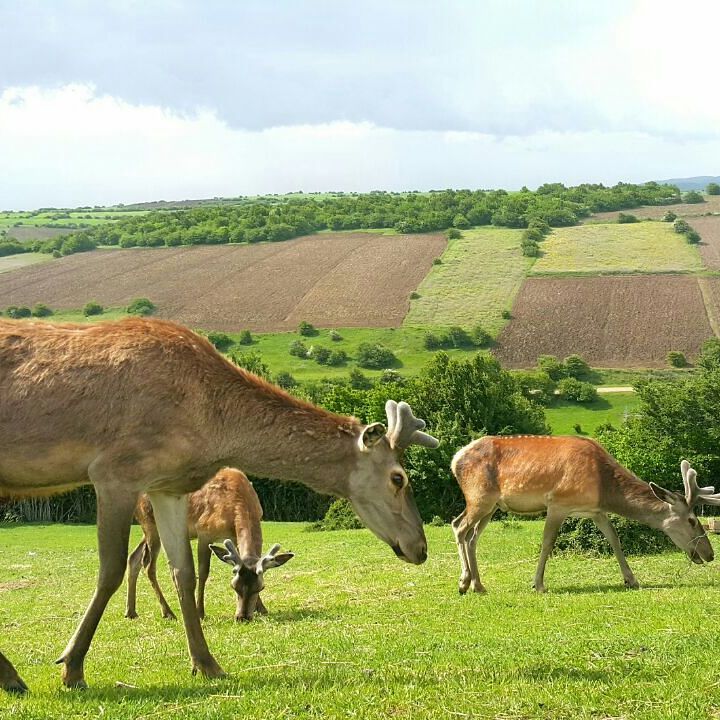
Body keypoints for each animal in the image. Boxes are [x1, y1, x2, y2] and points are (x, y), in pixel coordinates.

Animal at [124, 466, 292, 624]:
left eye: (261, 587)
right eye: (233, 586)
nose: (243, 617)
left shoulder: (234, 538)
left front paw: (262, 608)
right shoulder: (204, 531)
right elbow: (203, 572)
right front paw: (200, 612)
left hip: (148, 530)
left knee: (133, 558)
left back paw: (131, 612)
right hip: (150, 524)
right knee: (148, 565)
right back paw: (168, 612)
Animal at [450, 436, 720, 592]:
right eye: (692, 520)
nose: (709, 554)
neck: (604, 487)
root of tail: (455, 459)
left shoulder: (595, 510)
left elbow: (614, 539)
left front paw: (631, 580)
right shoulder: (558, 503)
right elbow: (547, 543)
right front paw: (538, 584)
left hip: (492, 506)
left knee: (472, 537)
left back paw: (478, 585)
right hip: (479, 496)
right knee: (459, 526)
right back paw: (463, 582)